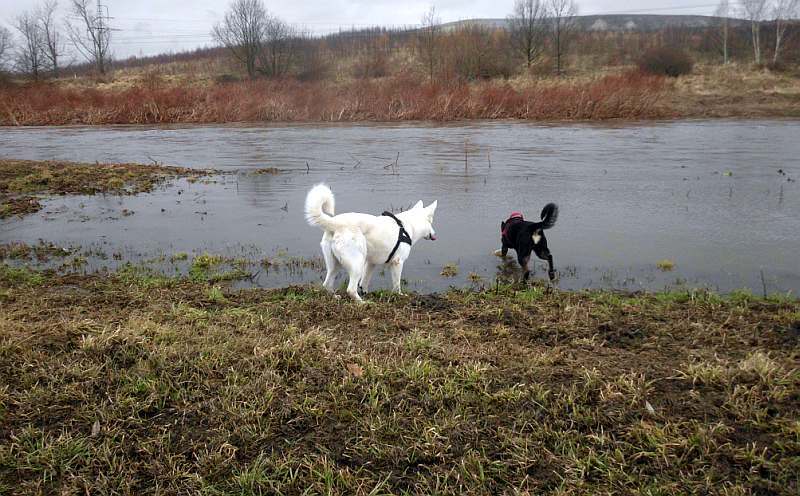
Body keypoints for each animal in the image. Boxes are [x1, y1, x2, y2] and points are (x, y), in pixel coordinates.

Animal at [304, 184, 438, 302]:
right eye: (431, 221)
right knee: (350, 290)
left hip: (335, 265)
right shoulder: (397, 263)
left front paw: (365, 292)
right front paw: (399, 295)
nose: (435, 234)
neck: (406, 226)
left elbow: (364, 282)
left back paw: (336, 297)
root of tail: (335, 223)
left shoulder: (370, 263)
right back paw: (362, 303)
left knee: (327, 284)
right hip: (357, 263)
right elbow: (396, 285)